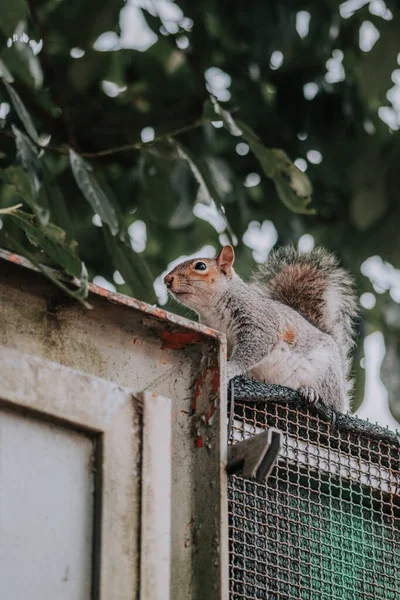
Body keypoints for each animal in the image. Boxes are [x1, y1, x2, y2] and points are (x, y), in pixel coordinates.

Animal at [164, 244, 358, 412]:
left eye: (200, 266)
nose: (167, 280)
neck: (212, 310)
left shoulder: (259, 323)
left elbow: (251, 351)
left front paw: (229, 369)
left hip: (327, 374)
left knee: (332, 403)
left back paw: (311, 391)